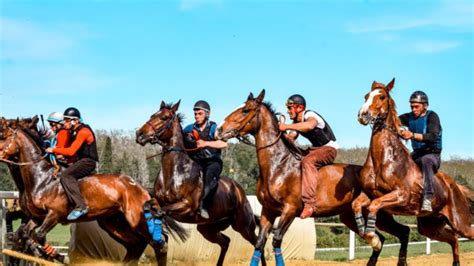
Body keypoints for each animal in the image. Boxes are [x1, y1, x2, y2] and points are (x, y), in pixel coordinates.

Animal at [0, 118, 189, 266]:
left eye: (3, 137)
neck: (41, 177)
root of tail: (141, 188)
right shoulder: (36, 217)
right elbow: (22, 234)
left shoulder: (54, 214)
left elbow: (37, 235)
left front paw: (54, 255)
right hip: (113, 223)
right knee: (136, 244)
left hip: (136, 219)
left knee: (159, 241)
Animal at [135, 101, 264, 266]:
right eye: (152, 115)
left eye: (164, 118)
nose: (139, 134)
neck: (175, 172)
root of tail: (239, 191)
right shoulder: (158, 201)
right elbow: (148, 206)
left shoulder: (187, 207)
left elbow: (159, 212)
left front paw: (160, 239)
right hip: (208, 228)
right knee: (226, 242)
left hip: (243, 225)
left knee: (258, 243)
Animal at [215, 90, 412, 266]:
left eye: (245, 110)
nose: (219, 130)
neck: (278, 166)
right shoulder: (268, 211)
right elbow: (259, 243)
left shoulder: (290, 210)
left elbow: (276, 240)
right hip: (351, 217)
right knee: (380, 239)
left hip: (379, 213)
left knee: (402, 232)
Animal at [356, 78, 474, 264]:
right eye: (366, 96)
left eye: (381, 97)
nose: (363, 115)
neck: (383, 160)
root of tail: (456, 188)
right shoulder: (370, 194)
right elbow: (356, 205)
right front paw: (366, 233)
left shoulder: (400, 196)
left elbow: (374, 206)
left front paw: (373, 239)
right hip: (430, 226)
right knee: (453, 239)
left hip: (460, 223)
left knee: (462, 235)